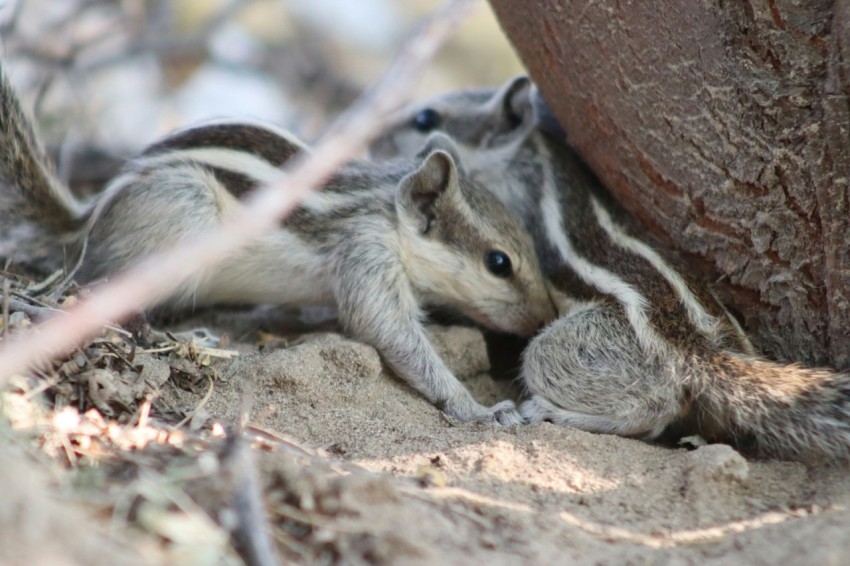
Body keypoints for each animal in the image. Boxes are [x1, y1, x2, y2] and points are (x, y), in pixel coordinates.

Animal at [0, 64, 556, 424]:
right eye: (499, 263)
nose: (545, 317)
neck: (387, 208)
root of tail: (86, 218)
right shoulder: (366, 253)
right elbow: (390, 333)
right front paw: (477, 409)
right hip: (185, 215)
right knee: (100, 287)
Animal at [374, 75, 848, 462]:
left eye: (425, 117)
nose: (375, 140)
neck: (526, 153)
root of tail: (696, 350)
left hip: (568, 350)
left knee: (650, 413)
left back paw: (550, 412)